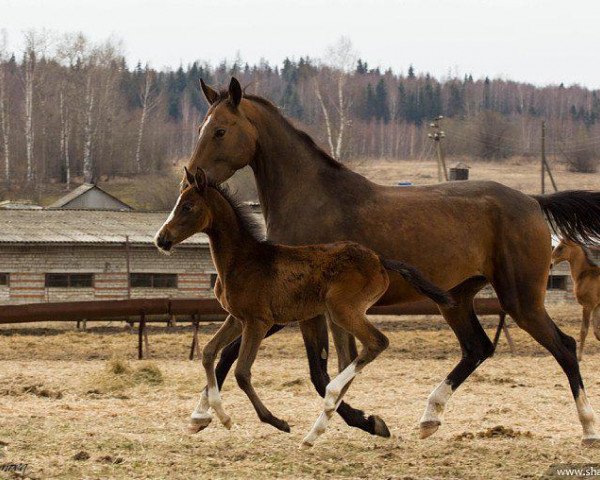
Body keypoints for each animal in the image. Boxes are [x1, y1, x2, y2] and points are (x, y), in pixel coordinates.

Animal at [155, 168, 450, 446]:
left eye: (187, 206)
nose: (161, 239)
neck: (242, 261)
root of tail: (379, 259)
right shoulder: (236, 319)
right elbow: (208, 353)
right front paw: (220, 416)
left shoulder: (258, 322)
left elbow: (242, 372)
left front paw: (276, 421)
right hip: (336, 315)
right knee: (351, 358)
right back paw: (329, 427)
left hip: (343, 310)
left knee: (376, 343)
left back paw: (330, 407)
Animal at [185, 77, 600, 444]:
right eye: (200, 127)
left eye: (220, 130)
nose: (192, 177)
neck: (312, 200)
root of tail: (533, 200)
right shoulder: (292, 309)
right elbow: (236, 356)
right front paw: (201, 416)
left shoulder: (297, 309)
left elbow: (319, 372)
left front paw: (368, 422)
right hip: (456, 298)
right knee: (477, 348)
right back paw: (429, 417)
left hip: (521, 299)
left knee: (564, 346)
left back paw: (587, 429)